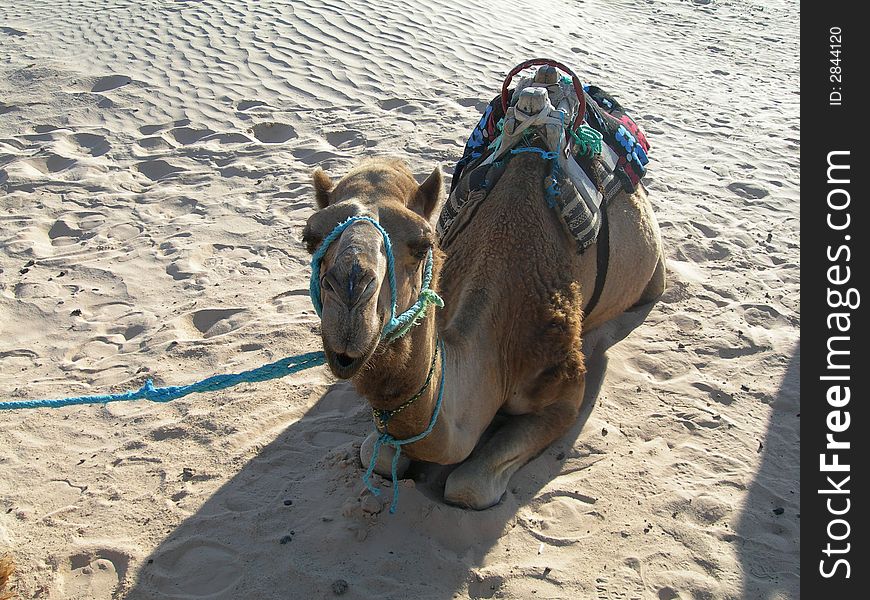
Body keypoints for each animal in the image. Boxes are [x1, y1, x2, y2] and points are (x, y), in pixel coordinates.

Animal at [304, 149, 664, 506]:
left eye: (423, 244)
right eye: (311, 239)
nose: (350, 295)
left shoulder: (563, 394)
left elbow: (469, 487)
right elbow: (375, 455)